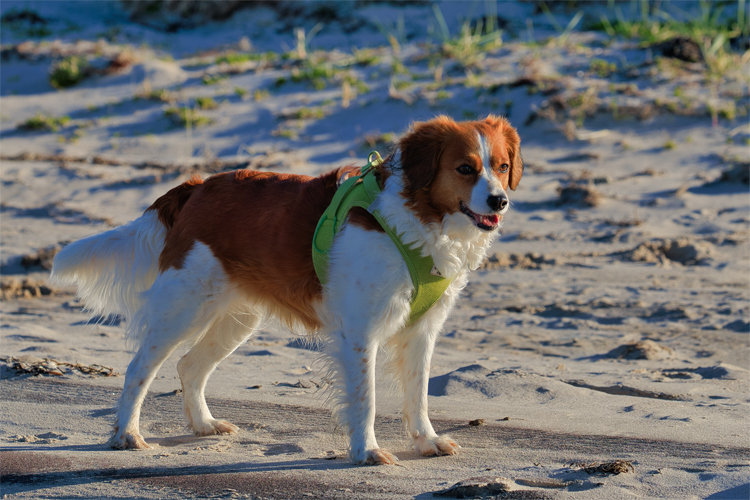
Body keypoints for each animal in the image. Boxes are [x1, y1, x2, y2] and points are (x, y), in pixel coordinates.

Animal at [51, 114, 524, 464]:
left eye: (502, 167)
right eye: (465, 168)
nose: (500, 201)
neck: (419, 219)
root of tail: (197, 187)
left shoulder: (421, 330)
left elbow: (419, 395)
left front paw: (426, 441)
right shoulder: (360, 331)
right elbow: (366, 397)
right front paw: (366, 452)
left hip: (238, 317)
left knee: (189, 366)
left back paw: (203, 425)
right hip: (184, 306)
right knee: (139, 369)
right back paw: (126, 434)